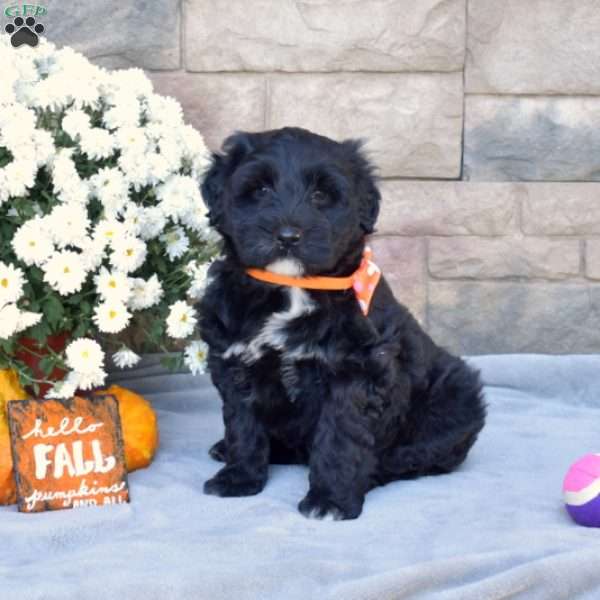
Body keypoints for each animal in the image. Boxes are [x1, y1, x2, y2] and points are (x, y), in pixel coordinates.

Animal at [199, 127, 486, 520]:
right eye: (260, 190)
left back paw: (376, 472)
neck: (292, 287)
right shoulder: (236, 359)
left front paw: (330, 500)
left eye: (321, 195)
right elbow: (243, 423)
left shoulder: (355, 372)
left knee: (420, 454)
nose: (288, 236)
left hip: (456, 394)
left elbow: (340, 437)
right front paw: (238, 478)